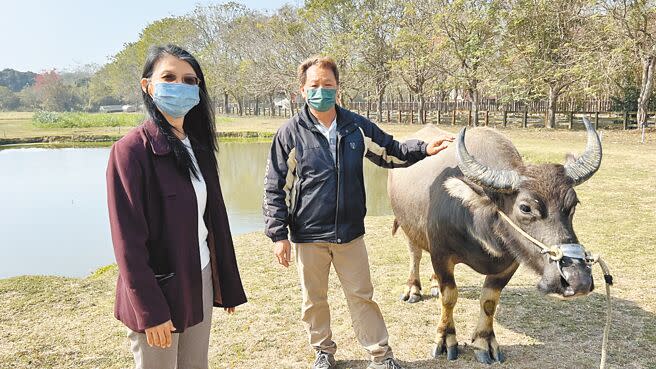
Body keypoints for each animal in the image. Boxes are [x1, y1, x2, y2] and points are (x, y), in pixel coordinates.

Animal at [386, 118, 604, 362]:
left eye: (573, 204)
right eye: (525, 207)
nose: (578, 280)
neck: (476, 222)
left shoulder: (509, 263)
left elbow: (489, 301)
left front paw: (484, 342)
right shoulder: (441, 255)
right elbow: (449, 297)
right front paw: (445, 339)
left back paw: (433, 285)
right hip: (407, 226)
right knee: (414, 253)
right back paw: (413, 290)